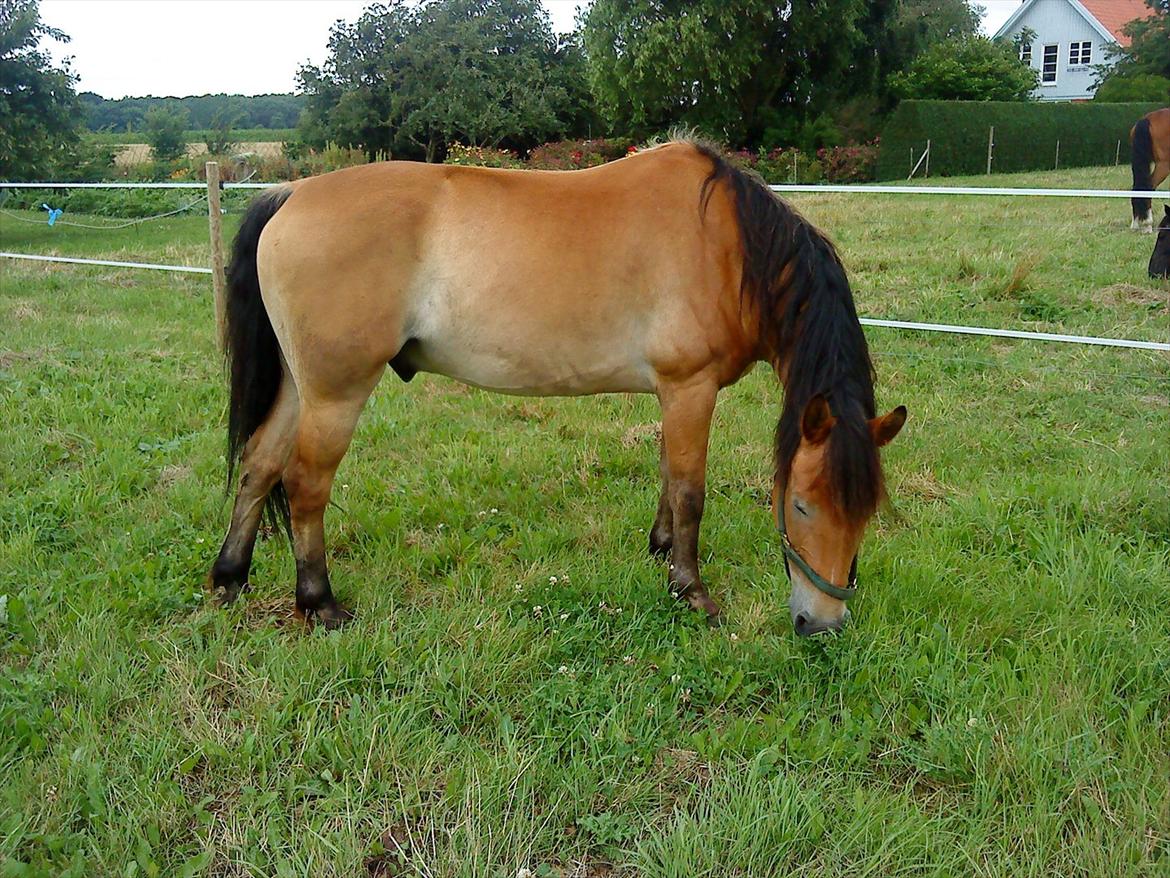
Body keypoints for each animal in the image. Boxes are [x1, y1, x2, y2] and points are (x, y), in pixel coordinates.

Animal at [207, 138, 907, 637]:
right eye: (802, 506)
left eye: (868, 512)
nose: (822, 624)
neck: (729, 246)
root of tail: (291, 192)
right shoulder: (691, 387)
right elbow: (689, 491)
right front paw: (691, 590)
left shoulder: (672, 395)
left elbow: (666, 474)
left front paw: (658, 552)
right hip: (335, 393)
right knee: (304, 483)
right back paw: (319, 603)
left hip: (299, 385)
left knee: (260, 463)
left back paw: (230, 577)